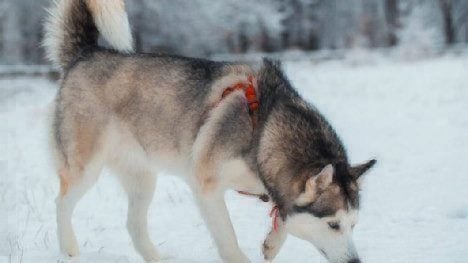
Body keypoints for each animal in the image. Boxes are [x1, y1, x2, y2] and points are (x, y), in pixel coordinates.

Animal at [42, 0, 374, 263]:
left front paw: (272, 244)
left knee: (134, 225)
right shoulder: (207, 186)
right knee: (61, 204)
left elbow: (283, 218)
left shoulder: (275, 187)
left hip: (143, 178)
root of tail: (86, 53)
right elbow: (228, 238)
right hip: (85, 168)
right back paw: (69, 250)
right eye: (333, 225)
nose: (355, 261)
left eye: (354, 224)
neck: (263, 131)